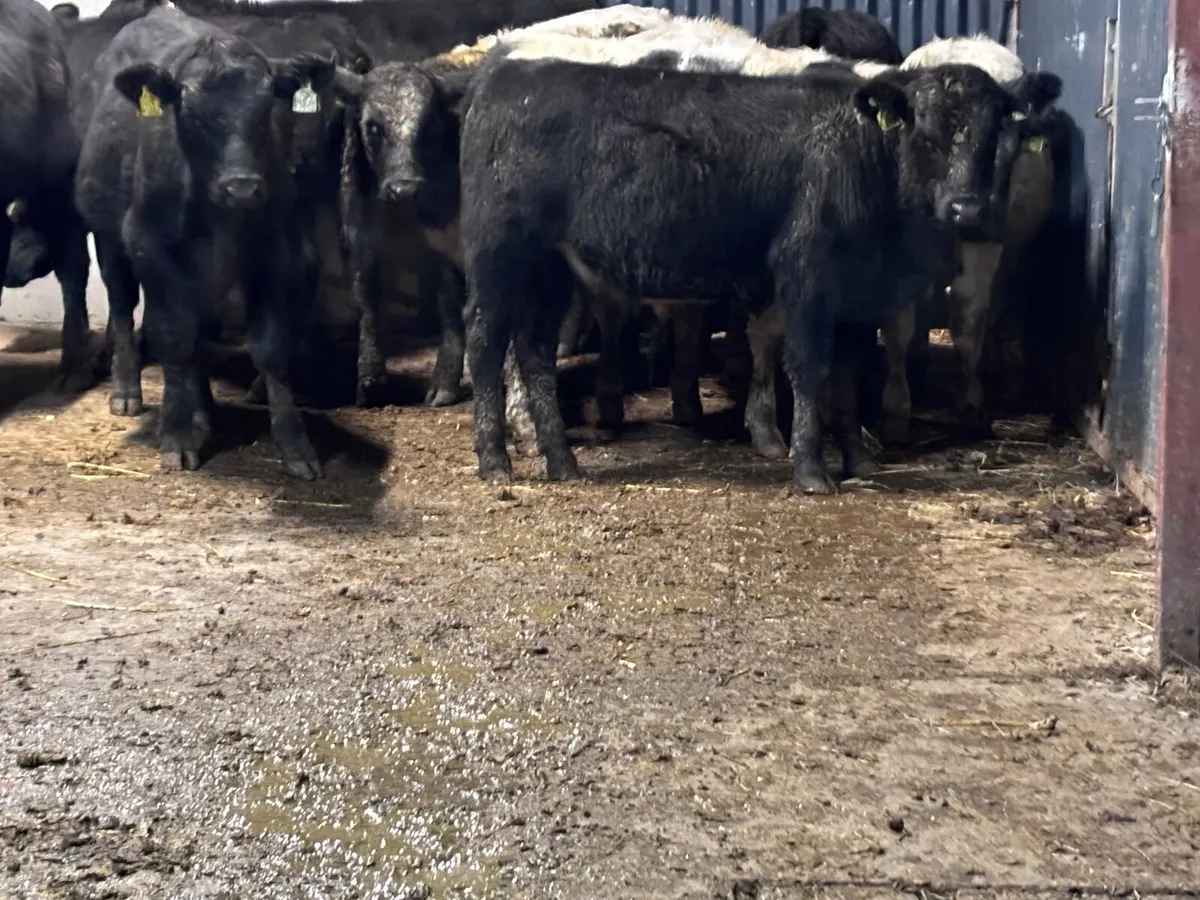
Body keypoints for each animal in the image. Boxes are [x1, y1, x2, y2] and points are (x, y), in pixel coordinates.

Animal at [73, 6, 333, 477]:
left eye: (266, 107)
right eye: (191, 113)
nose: (242, 186)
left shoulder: (275, 251)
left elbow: (270, 348)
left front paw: (295, 445)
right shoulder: (150, 246)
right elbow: (173, 336)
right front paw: (175, 437)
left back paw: (203, 411)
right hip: (109, 239)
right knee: (123, 308)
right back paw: (128, 392)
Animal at [455, 52, 1040, 494]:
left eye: (992, 138)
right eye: (927, 135)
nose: (966, 209)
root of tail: (506, 74)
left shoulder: (859, 294)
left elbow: (848, 375)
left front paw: (859, 461)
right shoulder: (807, 274)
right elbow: (810, 368)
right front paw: (811, 470)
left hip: (550, 265)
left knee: (533, 349)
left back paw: (563, 462)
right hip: (498, 254)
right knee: (485, 339)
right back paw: (494, 461)